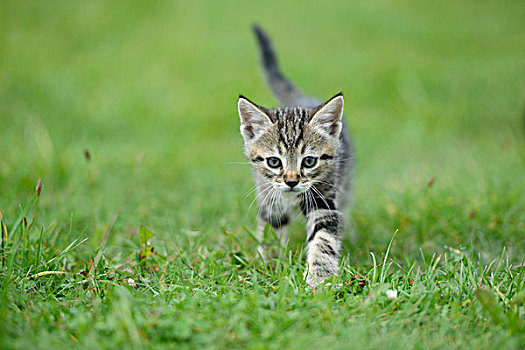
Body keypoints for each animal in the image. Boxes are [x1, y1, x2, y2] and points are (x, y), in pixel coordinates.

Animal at [236, 25, 352, 288]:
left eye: (309, 161)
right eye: (274, 162)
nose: (291, 181)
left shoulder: (324, 197)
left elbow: (323, 239)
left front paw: (320, 278)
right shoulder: (269, 197)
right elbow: (272, 228)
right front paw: (270, 262)